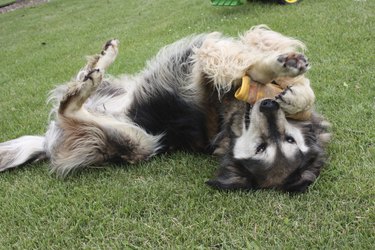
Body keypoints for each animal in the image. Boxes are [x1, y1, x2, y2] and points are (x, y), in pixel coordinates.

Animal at [0, 25, 330, 192]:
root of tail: (45, 144)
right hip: (120, 97)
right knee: (81, 81)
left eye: (265, 148)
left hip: (139, 143)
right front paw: (290, 82)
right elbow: (285, 81)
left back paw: (91, 77)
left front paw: (278, 71)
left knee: (67, 106)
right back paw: (102, 59)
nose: (269, 105)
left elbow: (243, 64)